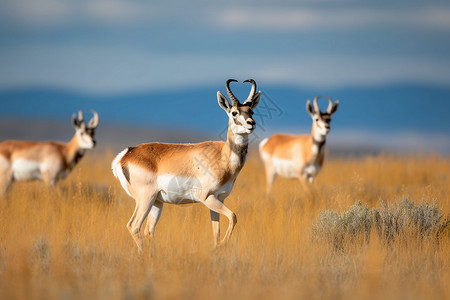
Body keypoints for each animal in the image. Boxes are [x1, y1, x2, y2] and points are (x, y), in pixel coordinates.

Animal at [110, 78, 262, 251]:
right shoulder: (207, 198)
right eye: (234, 112)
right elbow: (233, 216)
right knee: (134, 226)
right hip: (145, 199)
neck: (222, 156)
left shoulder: (218, 199)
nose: (251, 123)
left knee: (149, 231)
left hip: (157, 202)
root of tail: (126, 154)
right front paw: (224, 244)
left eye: (251, 111)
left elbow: (216, 233)